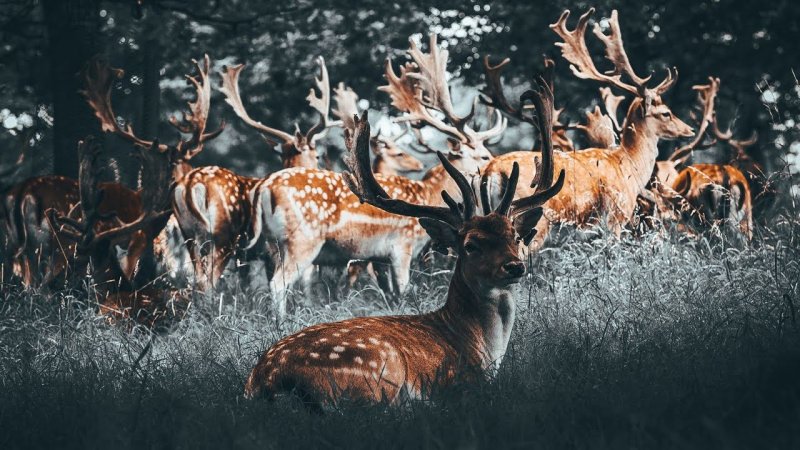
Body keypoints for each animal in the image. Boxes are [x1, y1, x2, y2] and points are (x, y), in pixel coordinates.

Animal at [170, 56, 338, 290]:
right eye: (318, 156)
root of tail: (189, 185)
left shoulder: (248, 256)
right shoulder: (271, 249)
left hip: (189, 234)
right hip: (223, 235)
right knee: (207, 281)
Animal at [243, 77, 564, 408]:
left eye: (515, 236)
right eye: (470, 245)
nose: (514, 267)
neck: (481, 346)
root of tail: (268, 378)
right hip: (376, 368)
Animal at [246, 35, 506, 317]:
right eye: (482, 155)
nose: (498, 163)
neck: (429, 195)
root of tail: (264, 187)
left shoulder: (379, 257)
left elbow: (389, 293)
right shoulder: (402, 246)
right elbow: (403, 289)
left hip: (273, 244)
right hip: (301, 240)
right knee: (278, 283)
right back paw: (282, 321)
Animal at [480, 9, 694, 250]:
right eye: (666, 112)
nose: (690, 129)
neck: (629, 166)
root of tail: (491, 171)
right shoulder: (615, 217)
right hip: (533, 220)